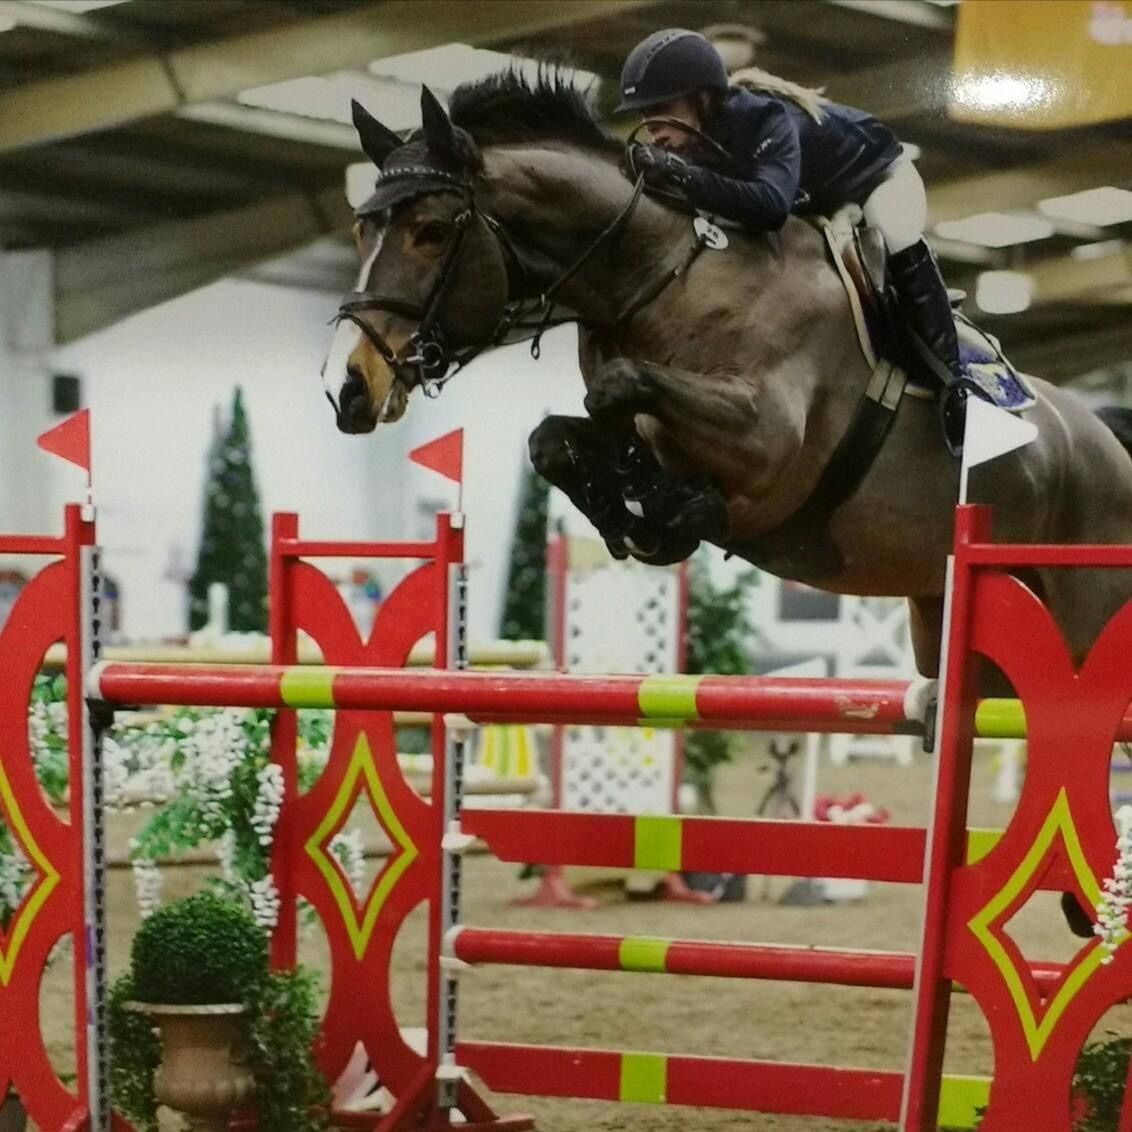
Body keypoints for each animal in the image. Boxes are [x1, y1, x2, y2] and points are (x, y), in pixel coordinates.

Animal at [326, 70, 1132, 701]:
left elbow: (619, 392)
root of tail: (1106, 442)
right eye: (362, 231)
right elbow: (556, 434)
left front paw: (675, 506)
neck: (661, 276)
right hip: (944, 611)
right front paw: (631, 510)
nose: (349, 388)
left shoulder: (767, 438)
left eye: (431, 231)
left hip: (1086, 614)